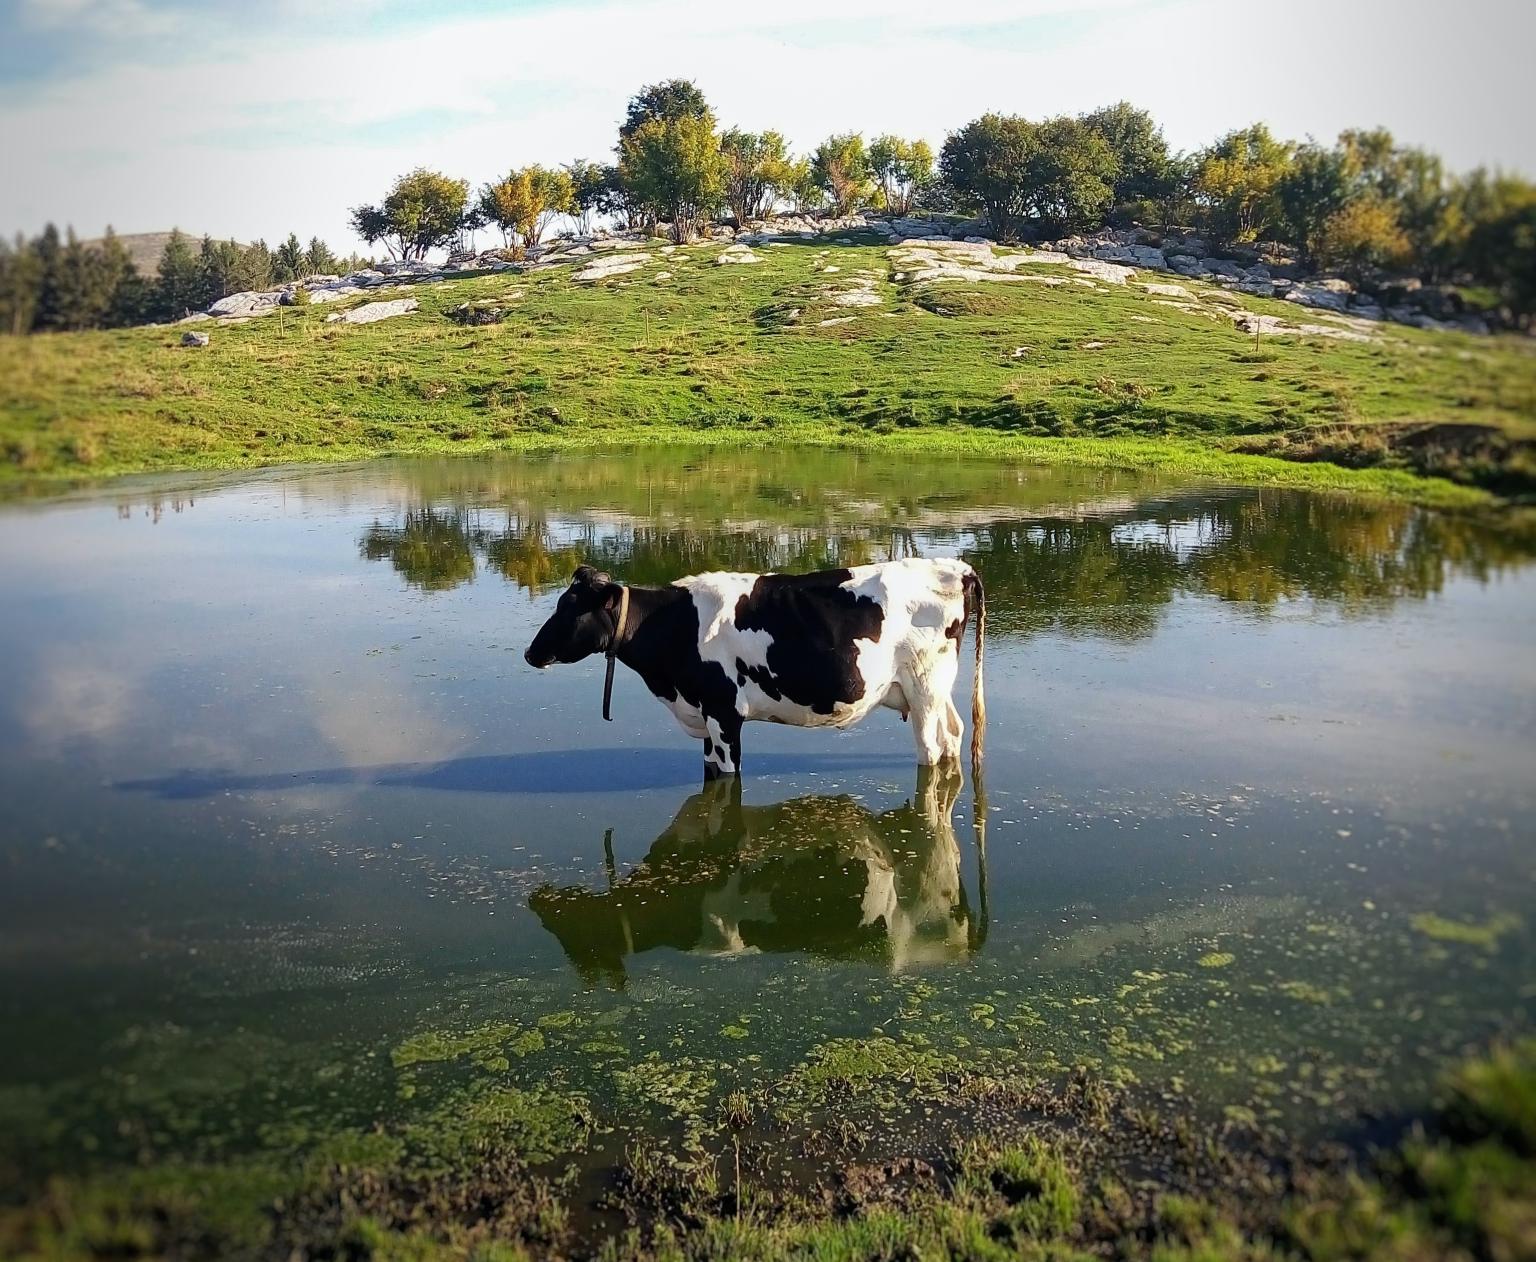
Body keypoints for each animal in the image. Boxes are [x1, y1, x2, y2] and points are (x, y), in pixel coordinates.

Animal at [525, 561, 983, 779]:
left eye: (570, 608)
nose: (530, 653)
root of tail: (955, 568)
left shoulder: (724, 714)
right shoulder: (705, 717)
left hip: (925, 686)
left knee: (932, 749)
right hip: (934, 690)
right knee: (954, 734)